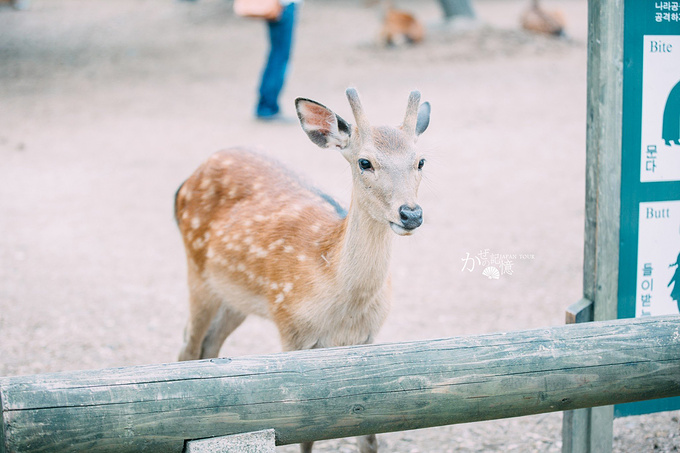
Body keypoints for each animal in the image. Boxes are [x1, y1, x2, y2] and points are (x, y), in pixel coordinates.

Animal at [175, 88, 430, 452]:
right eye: (365, 162)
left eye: (421, 161)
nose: (411, 214)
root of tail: (187, 180)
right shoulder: (291, 328)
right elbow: (306, 433)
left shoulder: (368, 337)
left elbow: (369, 435)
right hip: (198, 272)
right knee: (189, 345)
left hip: (236, 298)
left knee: (210, 347)